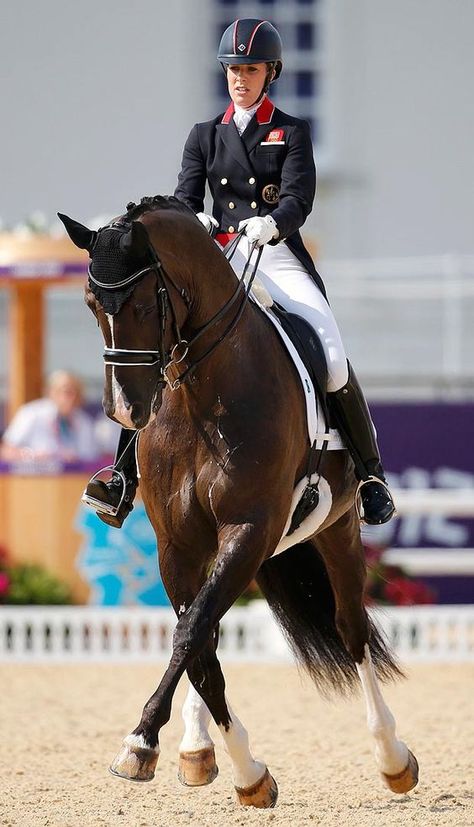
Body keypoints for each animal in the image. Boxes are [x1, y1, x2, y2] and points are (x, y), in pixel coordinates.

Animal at [59, 199, 418, 808]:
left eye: (141, 302)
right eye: (89, 303)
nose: (125, 410)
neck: (199, 394)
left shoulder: (249, 528)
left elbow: (191, 634)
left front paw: (141, 743)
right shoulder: (178, 545)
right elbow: (198, 644)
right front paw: (236, 767)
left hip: (336, 530)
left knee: (351, 629)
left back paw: (392, 758)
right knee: (214, 629)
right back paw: (197, 748)